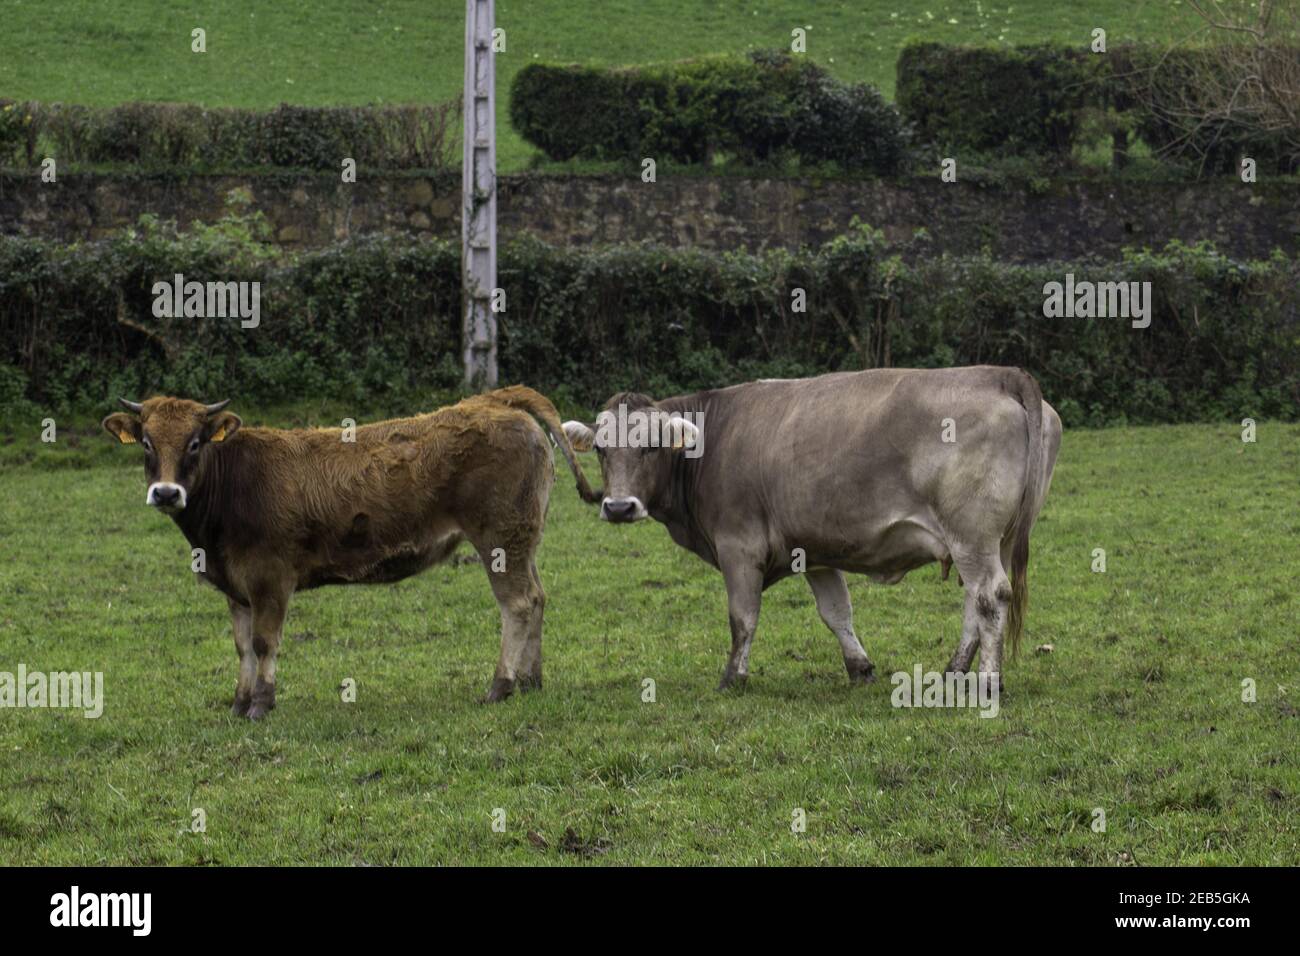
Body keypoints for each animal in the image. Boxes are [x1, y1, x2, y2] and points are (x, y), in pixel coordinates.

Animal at [101, 387, 598, 717]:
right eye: (147, 443)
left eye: (195, 442)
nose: (166, 493)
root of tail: (495, 400)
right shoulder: (235, 585)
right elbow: (242, 646)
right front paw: (239, 703)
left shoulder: (270, 578)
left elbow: (264, 642)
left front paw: (262, 703)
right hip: (522, 539)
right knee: (537, 597)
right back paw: (531, 680)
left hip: (498, 538)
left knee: (517, 604)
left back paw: (501, 685)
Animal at [564, 364, 1060, 686]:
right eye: (601, 449)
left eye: (650, 446)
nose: (620, 507)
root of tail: (998, 373)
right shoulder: (816, 551)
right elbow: (836, 612)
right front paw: (859, 667)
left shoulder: (738, 547)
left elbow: (742, 618)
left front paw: (733, 676)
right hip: (991, 539)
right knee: (975, 601)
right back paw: (955, 670)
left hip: (972, 535)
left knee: (990, 596)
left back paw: (987, 681)